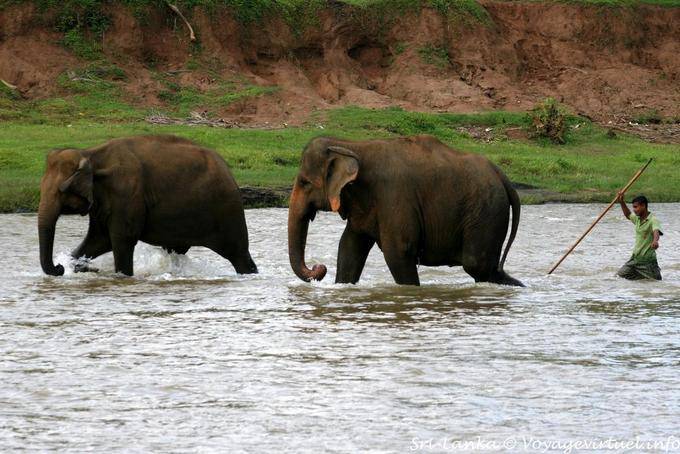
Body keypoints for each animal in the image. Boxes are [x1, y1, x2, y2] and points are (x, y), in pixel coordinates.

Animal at [38, 134, 258, 277]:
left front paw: (122, 276)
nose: (59, 268)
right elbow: (99, 240)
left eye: (61, 190)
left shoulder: (127, 194)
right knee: (176, 250)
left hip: (227, 209)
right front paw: (77, 264)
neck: (92, 154)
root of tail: (229, 172)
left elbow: (121, 239)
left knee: (238, 254)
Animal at [288, 135, 523, 287]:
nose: (319, 268)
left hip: (487, 210)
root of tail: (502, 176)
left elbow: (399, 250)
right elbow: (349, 248)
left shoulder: (393, 195)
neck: (351, 145)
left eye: (305, 182)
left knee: (477, 265)